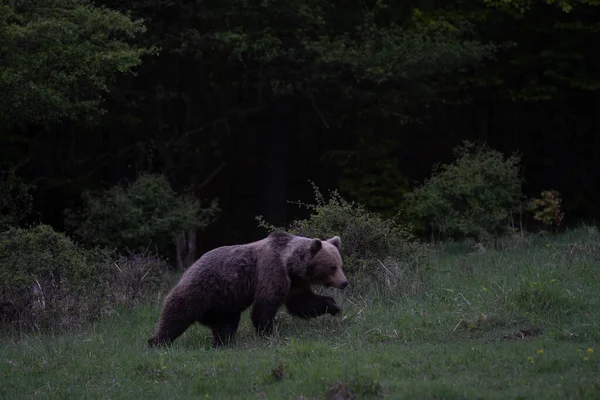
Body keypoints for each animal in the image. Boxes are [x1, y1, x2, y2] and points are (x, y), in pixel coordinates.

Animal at [147, 230, 350, 348]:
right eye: (332, 267)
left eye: (340, 264)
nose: (345, 282)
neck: (290, 264)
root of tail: (188, 269)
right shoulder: (272, 270)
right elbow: (265, 305)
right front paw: (268, 333)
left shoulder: (294, 282)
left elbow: (302, 303)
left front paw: (333, 306)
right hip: (200, 289)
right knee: (176, 314)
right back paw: (157, 341)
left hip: (223, 303)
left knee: (225, 324)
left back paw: (222, 343)